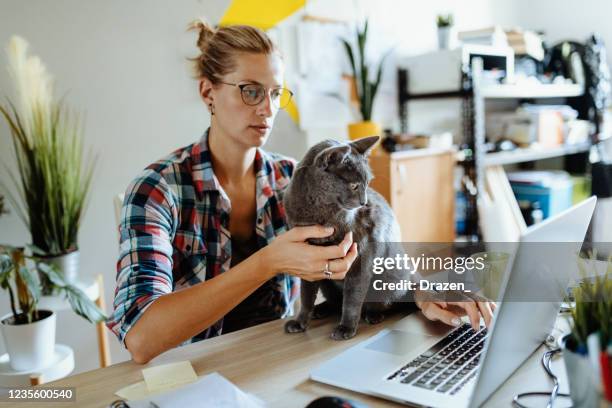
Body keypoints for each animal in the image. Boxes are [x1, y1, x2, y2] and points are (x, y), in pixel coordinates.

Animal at [284, 135, 412, 340]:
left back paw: (373, 315)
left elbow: (352, 299)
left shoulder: (361, 258)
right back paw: (321, 309)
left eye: (368, 183)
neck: (319, 213)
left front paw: (346, 328)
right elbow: (306, 294)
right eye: (354, 185)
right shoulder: (308, 258)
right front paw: (300, 321)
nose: (364, 202)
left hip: (391, 278)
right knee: (335, 301)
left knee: (384, 302)